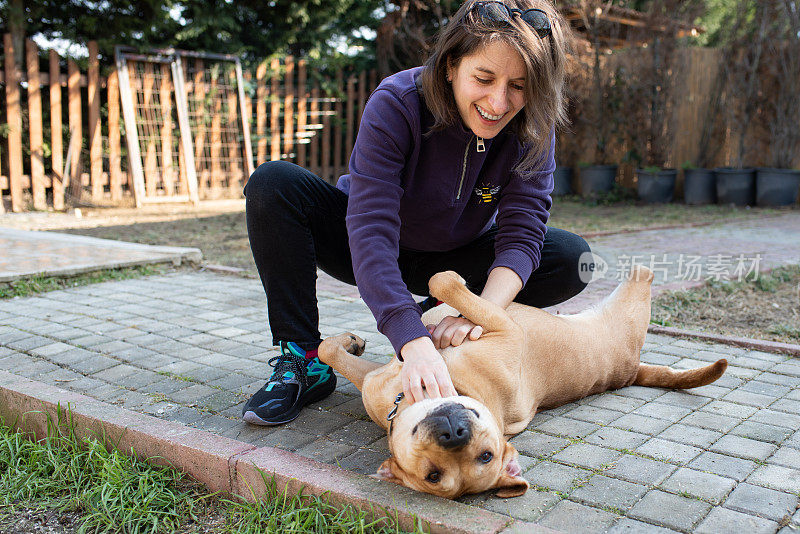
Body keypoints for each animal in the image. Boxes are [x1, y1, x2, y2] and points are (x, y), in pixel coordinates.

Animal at [318, 268, 724, 502]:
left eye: (486, 455)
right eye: (433, 475)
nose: (454, 433)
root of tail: (632, 371)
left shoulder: (502, 326)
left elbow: (443, 282)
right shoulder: (375, 380)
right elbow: (327, 350)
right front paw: (348, 342)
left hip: (629, 303)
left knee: (645, 271)